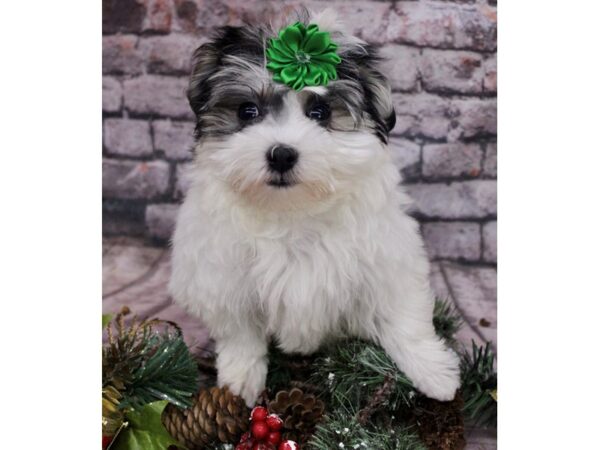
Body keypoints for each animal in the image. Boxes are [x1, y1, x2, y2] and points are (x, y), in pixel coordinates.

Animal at [169, 10, 460, 406]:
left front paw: (434, 373)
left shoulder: (388, 261)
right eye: (248, 111)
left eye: (320, 112)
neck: (293, 210)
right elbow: (240, 333)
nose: (281, 154)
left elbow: (404, 317)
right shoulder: (222, 276)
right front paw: (240, 382)